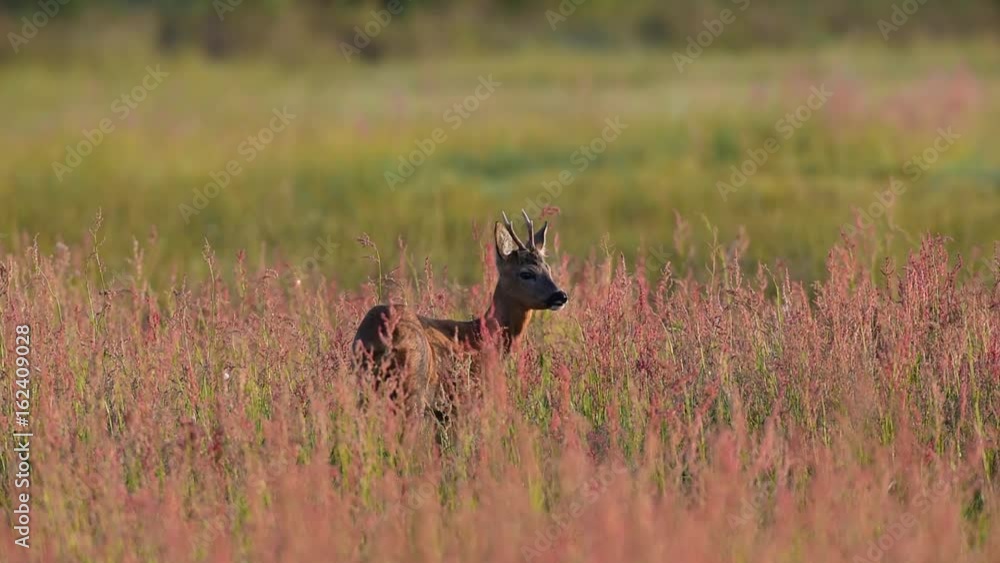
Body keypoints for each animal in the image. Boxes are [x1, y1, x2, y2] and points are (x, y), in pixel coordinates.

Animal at [354, 210, 572, 418]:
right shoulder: (469, 396)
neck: (484, 336)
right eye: (526, 273)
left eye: (548, 268)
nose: (560, 295)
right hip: (413, 386)